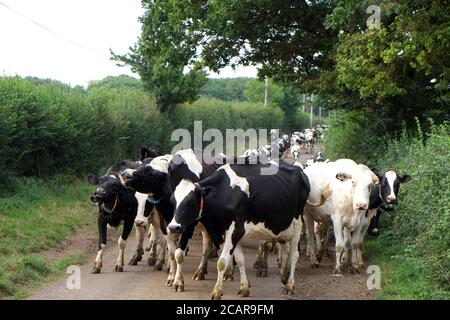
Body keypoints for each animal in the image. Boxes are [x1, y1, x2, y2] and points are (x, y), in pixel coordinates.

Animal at [167, 161, 312, 298]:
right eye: (172, 201)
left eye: (191, 202)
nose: (173, 227)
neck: (224, 192)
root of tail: (300, 171)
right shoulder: (227, 232)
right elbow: (240, 259)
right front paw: (244, 288)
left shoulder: (235, 230)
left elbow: (222, 262)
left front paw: (217, 292)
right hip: (282, 228)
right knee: (285, 249)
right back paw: (284, 276)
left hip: (297, 224)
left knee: (294, 255)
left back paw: (289, 285)